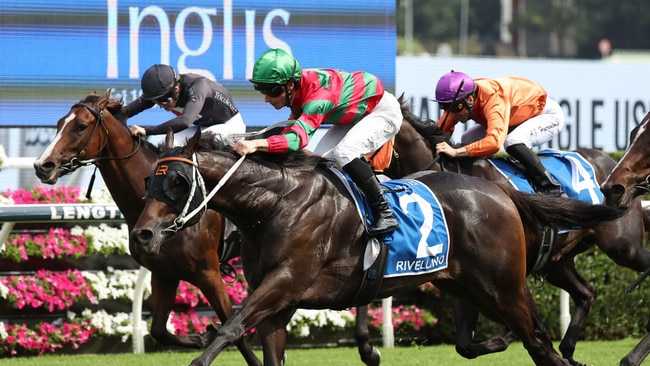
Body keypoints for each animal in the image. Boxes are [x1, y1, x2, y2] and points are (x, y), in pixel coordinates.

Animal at [30, 91, 258, 364]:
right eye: (58, 123)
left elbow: (235, 329)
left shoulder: (209, 274)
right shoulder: (164, 273)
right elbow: (159, 330)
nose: (43, 166)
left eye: (81, 126)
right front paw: (202, 336)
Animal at [129, 129, 620, 366]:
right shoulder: (279, 303)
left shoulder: (286, 281)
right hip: (466, 287)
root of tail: (501, 192)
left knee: (538, 340)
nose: (143, 235)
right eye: (151, 177)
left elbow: (230, 327)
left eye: (177, 181)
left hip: (503, 286)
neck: (274, 203)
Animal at [382, 103, 644, 366]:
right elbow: (464, 345)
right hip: (557, 263)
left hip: (623, 247)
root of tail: (611, 164)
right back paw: (569, 351)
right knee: (587, 293)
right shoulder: (465, 273)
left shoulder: (507, 273)